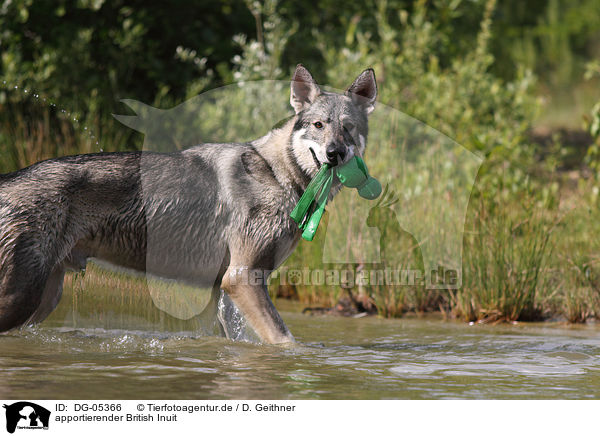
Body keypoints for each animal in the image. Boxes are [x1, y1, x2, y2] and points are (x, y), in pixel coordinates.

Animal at [0, 64, 376, 344]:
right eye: (318, 125)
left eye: (348, 128)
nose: (335, 153)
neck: (278, 174)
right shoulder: (242, 279)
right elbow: (286, 341)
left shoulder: (226, 292)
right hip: (23, 298)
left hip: (45, 299)